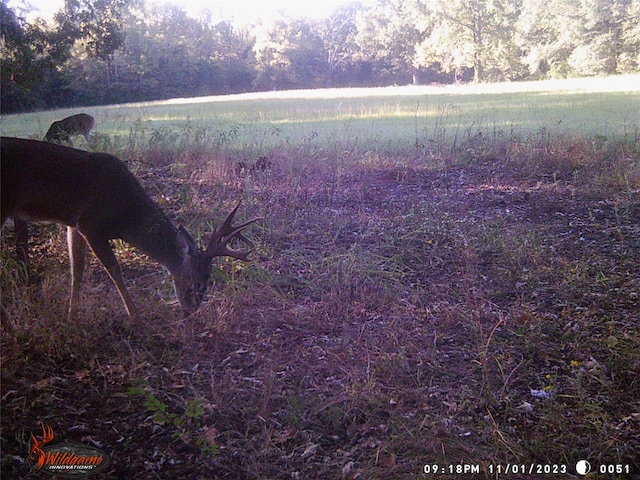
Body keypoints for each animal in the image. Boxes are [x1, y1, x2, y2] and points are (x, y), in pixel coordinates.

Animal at [0, 137, 260, 320]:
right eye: (197, 282)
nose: (191, 310)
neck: (126, 217)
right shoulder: (91, 224)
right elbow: (115, 271)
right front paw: (135, 317)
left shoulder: (74, 224)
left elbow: (77, 269)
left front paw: (71, 317)